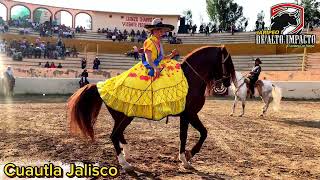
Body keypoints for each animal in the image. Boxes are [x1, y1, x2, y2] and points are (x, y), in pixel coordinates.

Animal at [67, 46, 236, 170]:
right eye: (227, 62)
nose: (227, 83)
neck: (190, 79)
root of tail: (101, 85)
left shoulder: (185, 116)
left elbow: (183, 136)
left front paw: (183, 159)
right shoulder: (191, 114)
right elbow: (204, 133)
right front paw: (189, 155)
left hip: (121, 117)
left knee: (118, 134)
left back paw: (127, 153)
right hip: (125, 117)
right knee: (114, 136)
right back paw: (125, 163)